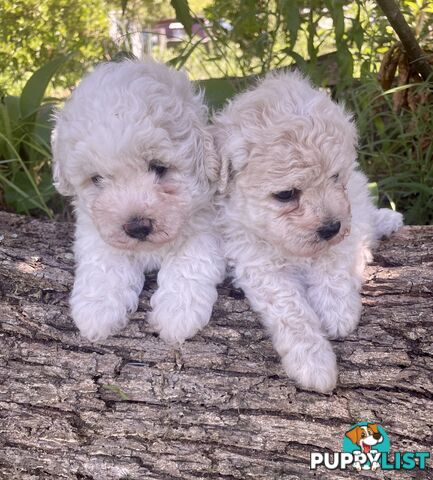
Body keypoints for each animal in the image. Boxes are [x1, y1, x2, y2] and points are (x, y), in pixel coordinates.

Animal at [52, 60, 224, 344]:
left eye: (159, 167)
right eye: (97, 179)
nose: (137, 227)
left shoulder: (207, 223)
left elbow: (190, 259)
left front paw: (177, 314)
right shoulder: (95, 226)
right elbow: (105, 261)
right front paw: (96, 310)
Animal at [213, 72, 402, 394]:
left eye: (335, 176)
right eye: (286, 194)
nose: (330, 228)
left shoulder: (346, 214)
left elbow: (333, 262)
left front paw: (338, 311)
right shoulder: (258, 263)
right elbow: (291, 311)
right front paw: (314, 365)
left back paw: (386, 222)